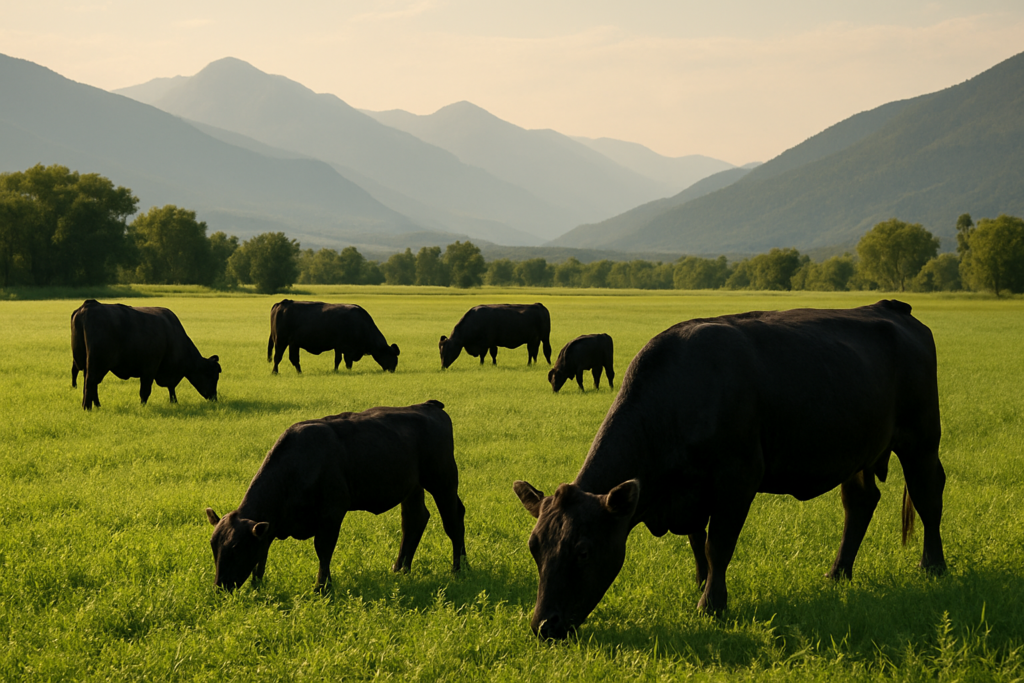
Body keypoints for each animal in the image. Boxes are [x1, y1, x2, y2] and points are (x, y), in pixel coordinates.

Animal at [71, 299, 221, 411]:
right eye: (212, 375)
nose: (214, 398)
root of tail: (89, 305)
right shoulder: (150, 368)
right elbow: (145, 391)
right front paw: (142, 407)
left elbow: (171, 388)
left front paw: (174, 402)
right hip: (98, 363)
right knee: (91, 381)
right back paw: (88, 407)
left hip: (84, 361)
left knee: (89, 383)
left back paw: (95, 405)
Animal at [205, 400, 467, 592]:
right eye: (213, 545)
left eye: (237, 548)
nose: (220, 587)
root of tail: (429, 405)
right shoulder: (271, 525)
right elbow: (263, 553)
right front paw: (257, 585)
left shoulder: (332, 512)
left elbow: (323, 548)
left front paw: (322, 587)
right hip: (412, 487)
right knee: (414, 520)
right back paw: (401, 568)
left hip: (443, 480)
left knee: (452, 519)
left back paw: (458, 568)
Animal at [268, 300, 400, 374]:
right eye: (393, 356)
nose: (392, 369)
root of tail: (282, 303)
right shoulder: (343, 347)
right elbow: (341, 360)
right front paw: (339, 371)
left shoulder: (342, 348)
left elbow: (343, 361)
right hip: (280, 341)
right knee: (277, 357)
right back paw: (274, 372)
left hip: (293, 344)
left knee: (294, 359)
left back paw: (300, 373)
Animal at [514, 300, 946, 639]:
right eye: (535, 547)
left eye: (583, 551)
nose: (544, 625)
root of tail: (893, 308)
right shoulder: (690, 494)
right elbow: (697, 542)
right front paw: (702, 584)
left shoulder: (737, 481)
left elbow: (718, 545)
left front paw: (712, 604)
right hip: (858, 452)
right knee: (859, 502)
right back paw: (838, 572)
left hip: (921, 439)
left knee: (928, 496)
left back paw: (933, 566)